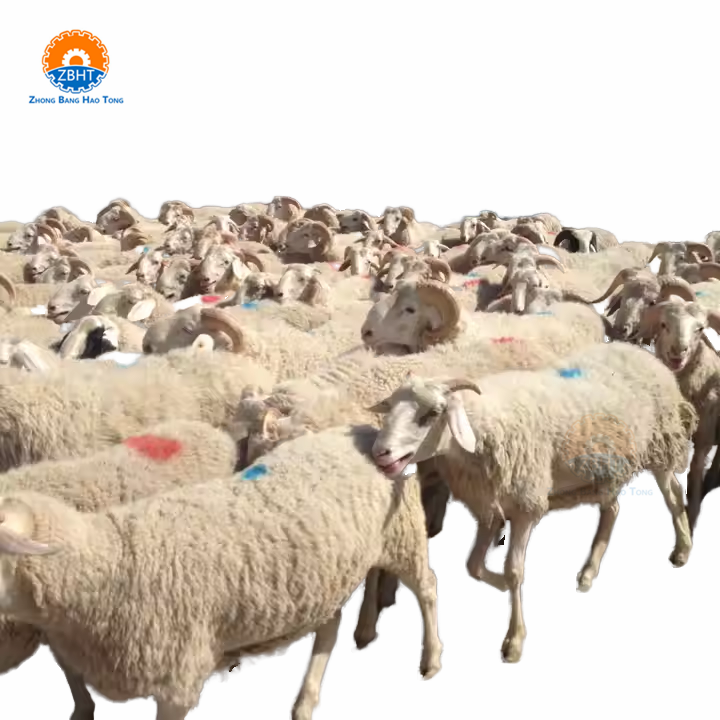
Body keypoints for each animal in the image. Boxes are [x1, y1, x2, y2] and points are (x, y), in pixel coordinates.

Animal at [369, 341, 696, 661]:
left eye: (433, 412)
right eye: (390, 408)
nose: (380, 452)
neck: (481, 429)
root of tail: (643, 353)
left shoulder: (525, 505)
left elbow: (515, 572)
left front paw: (514, 639)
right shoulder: (489, 506)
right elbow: (473, 565)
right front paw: (499, 584)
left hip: (661, 444)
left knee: (673, 495)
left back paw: (682, 549)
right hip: (603, 470)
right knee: (613, 509)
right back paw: (589, 572)